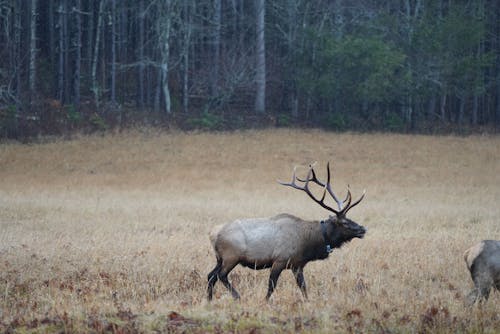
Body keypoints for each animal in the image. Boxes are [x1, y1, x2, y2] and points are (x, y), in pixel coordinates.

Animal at [205, 162, 366, 300]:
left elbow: (303, 286)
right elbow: (271, 286)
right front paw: (265, 301)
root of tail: (212, 233)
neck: (308, 242)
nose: (363, 229)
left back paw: (209, 299)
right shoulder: (279, 260)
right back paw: (237, 296)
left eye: (350, 218)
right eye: (344, 222)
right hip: (231, 256)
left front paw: (307, 301)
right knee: (221, 275)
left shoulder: (297, 265)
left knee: (210, 276)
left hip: (220, 258)